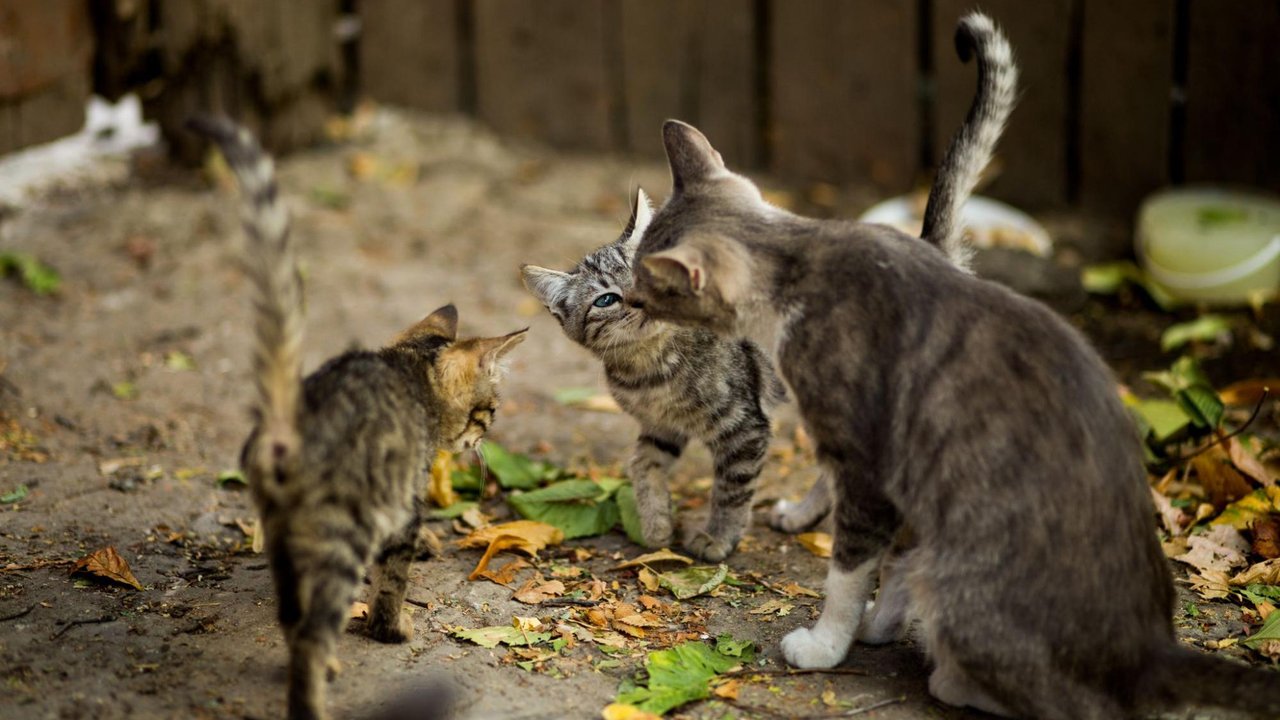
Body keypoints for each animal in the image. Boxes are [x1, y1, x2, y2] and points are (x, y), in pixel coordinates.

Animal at [186, 116, 524, 717]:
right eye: (489, 411)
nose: (487, 435)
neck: (408, 372)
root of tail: (289, 421)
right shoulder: (402, 504)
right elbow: (393, 577)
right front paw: (392, 628)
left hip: (282, 537)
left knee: (293, 618)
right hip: (343, 533)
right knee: (312, 630)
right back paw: (315, 697)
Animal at [514, 12, 1013, 561]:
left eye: (647, 273)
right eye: (606, 298)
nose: (641, 301)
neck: (649, 369)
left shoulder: (743, 427)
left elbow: (731, 490)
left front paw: (716, 539)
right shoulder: (659, 428)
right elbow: (641, 463)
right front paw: (656, 524)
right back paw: (804, 515)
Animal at [624, 14, 1280, 717]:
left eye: (647, 286)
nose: (627, 301)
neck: (802, 255)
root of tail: (1150, 650)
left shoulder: (871, 461)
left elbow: (847, 571)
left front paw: (826, 644)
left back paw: (940, 668)